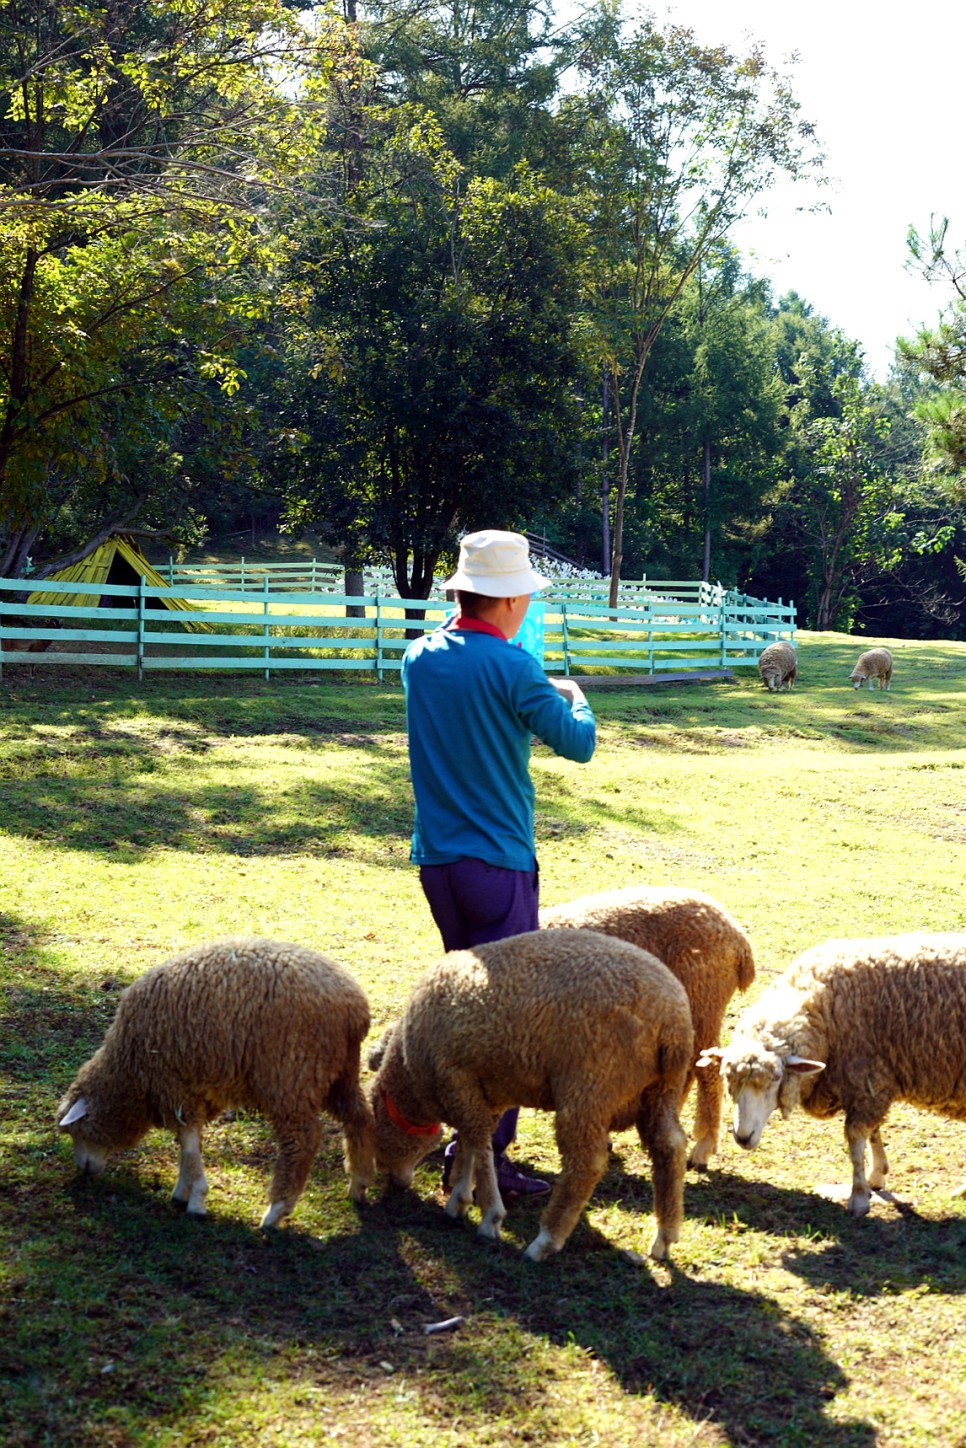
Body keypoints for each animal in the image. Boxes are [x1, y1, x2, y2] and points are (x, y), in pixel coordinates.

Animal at [56, 932, 373, 1227]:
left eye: (78, 1130)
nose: (83, 1170)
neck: (128, 1070)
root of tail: (354, 1007)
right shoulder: (191, 1094)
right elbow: (188, 1146)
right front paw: (182, 1190)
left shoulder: (174, 1087)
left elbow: (189, 1146)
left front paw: (196, 1199)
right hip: (339, 1073)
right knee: (359, 1118)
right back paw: (358, 1184)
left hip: (291, 1075)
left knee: (303, 1140)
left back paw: (276, 1211)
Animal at [366, 932, 692, 1262]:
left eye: (375, 1126)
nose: (390, 1179)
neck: (412, 1074)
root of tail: (672, 1019)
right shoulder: (483, 1094)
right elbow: (472, 1142)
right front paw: (460, 1197)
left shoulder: (457, 1080)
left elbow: (479, 1144)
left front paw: (490, 1216)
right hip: (661, 1091)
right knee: (670, 1146)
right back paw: (665, 1236)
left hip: (590, 1086)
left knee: (587, 1163)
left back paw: (545, 1241)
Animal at [698, 926, 966, 1222]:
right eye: (728, 1082)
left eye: (776, 1078)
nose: (743, 1137)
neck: (824, 1008)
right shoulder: (871, 1080)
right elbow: (873, 1131)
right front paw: (877, 1174)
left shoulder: (866, 1076)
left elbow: (856, 1138)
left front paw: (859, 1196)